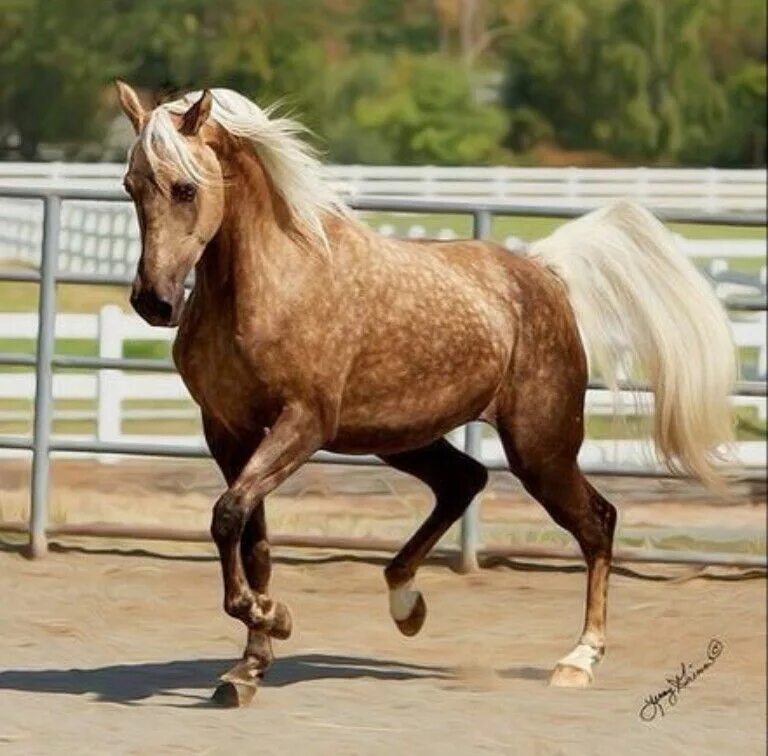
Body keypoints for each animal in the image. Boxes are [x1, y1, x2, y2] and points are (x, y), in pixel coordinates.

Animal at [114, 82, 732, 708]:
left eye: (186, 188)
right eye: (130, 186)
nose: (154, 302)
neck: (269, 284)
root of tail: (544, 273)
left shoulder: (302, 423)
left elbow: (227, 516)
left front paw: (273, 619)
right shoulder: (229, 431)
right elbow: (249, 537)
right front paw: (249, 666)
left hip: (541, 448)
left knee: (597, 521)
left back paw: (578, 659)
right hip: (399, 437)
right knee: (465, 481)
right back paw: (406, 604)